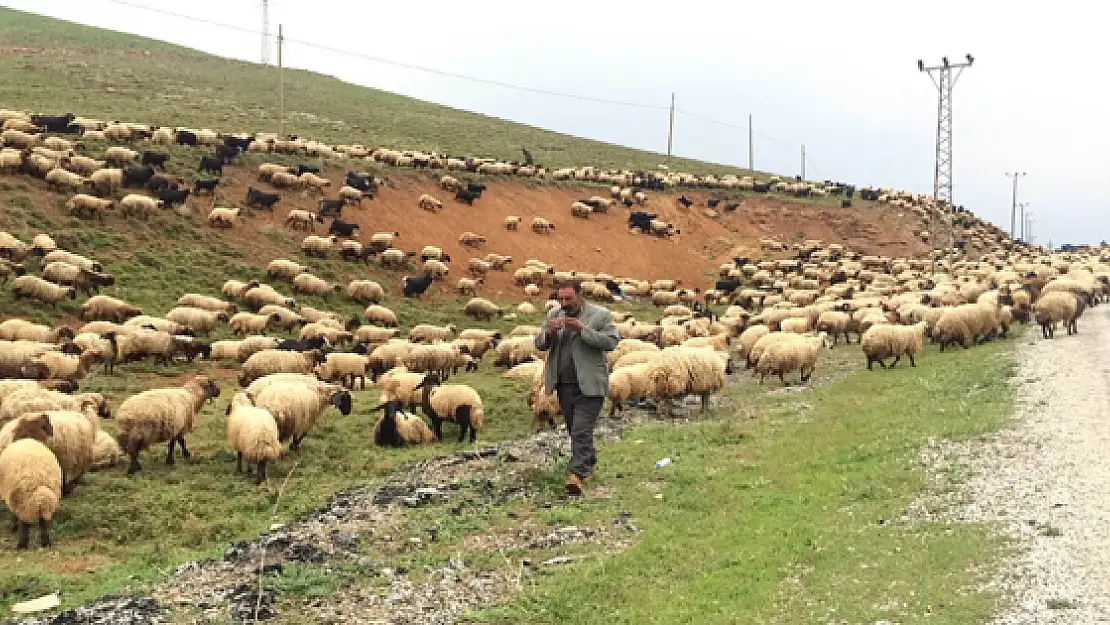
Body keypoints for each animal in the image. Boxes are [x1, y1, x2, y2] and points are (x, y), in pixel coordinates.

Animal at [0, 417, 60, 550]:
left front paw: (14, 526)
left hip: (23, 501)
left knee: (24, 523)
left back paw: (21, 545)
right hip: (48, 501)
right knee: (44, 523)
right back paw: (46, 543)